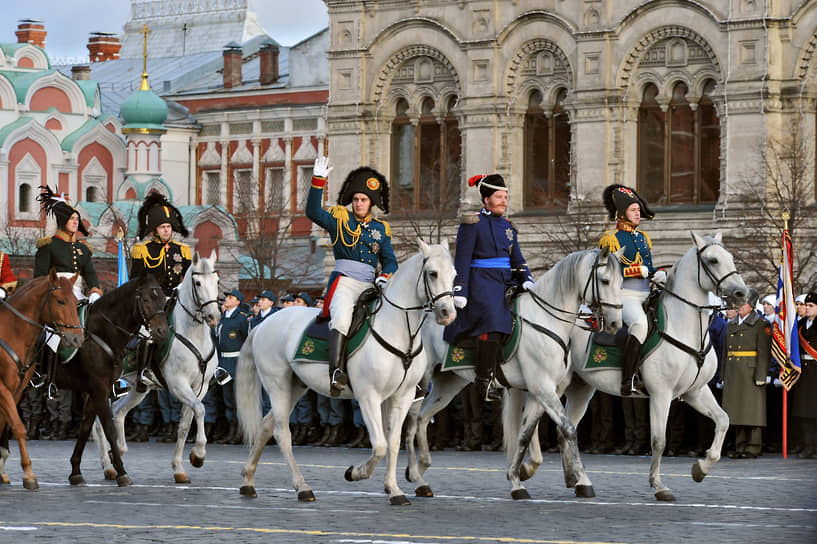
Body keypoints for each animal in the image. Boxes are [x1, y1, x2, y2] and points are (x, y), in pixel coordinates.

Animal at [0, 270, 83, 488]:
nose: (76, 339)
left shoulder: (17, 390)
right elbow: (18, 427)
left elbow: (4, 425)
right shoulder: (2, 388)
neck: (13, 333)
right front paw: (29, 474)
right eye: (61, 301)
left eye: (76, 302)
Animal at [93, 250, 222, 480]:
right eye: (198, 282)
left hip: (138, 389)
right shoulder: (178, 385)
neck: (194, 335)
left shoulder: (201, 388)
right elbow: (200, 411)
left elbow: (185, 425)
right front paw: (198, 455)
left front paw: (179, 468)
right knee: (100, 422)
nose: (213, 316)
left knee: (118, 412)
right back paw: (108, 465)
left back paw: (118, 450)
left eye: (216, 281)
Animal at [236, 240, 456, 504]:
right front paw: (356, 472)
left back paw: (248, 480)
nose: (448, 313)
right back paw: (302, 487)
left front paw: (394, 489)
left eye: (454, 274)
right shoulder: (368, 396)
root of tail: (262, 325)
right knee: (282, 433)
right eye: (432, 273)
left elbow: (392, 443)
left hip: (295, 386)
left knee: (266, 426)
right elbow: (380, 445)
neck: (400, 331)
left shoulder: (402, 396)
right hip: (277, 385)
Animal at [404, 249, 620, 500]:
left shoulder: (539, 390)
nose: (615, 323)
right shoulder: (543, 388)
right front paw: (582, 480)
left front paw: (518, 478)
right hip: (419, 382)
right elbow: (568, 429)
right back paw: (416, 476)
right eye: (605, 281)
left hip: (448, 383)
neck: (546, 320)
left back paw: (419, 469)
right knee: (410, 419)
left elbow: (524, 435)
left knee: (422, 418)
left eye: (621, 282)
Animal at [512, 232, 748, 504]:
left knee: (561, 428)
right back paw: (530, 469)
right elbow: (658, 440)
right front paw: (659, 485)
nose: (742, 293)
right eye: (712, 260)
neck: (686, 326)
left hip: (580, 387)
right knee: (537, 422)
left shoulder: (695, 391)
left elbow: (723, 420)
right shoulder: (661, 394)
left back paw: (575, 479)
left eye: (730, 257)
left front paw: (701, 468)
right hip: (550, 383)